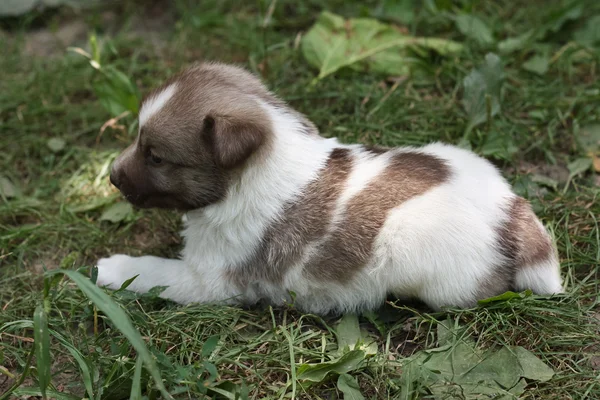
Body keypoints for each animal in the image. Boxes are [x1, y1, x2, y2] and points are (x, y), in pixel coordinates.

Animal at [96, 61, 564, 316]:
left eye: (156, 157)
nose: (112, 176)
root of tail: (512, 210)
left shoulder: (208, 279)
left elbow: (152, 271)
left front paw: (111, 268)